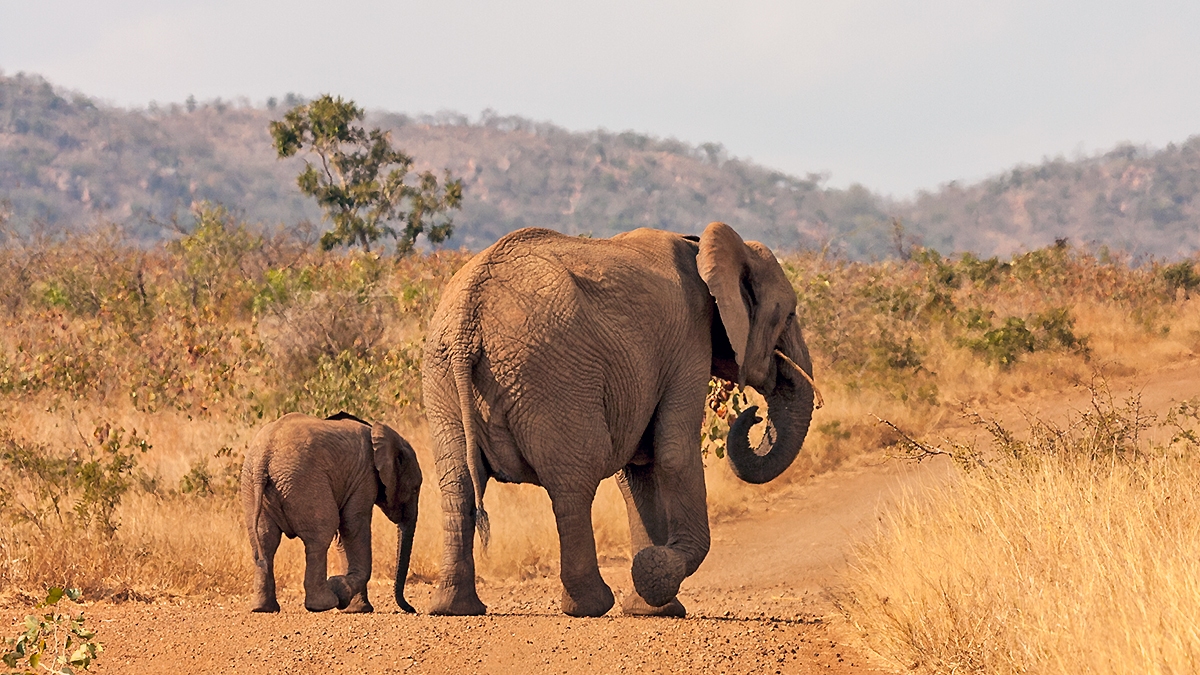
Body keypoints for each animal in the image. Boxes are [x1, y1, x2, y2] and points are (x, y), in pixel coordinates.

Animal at [240, 411, 422, 613]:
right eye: (415, 489)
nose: (412, 609)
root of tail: (264, 456)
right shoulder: (365, 476)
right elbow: (352, 525)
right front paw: (340, 590)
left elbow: (342, 535)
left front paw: (355, 608)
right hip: (305, 481)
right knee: (319, 538)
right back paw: (323, 604)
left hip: (251, 486)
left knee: (265, 541)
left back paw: (263, 608)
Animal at [421, 221, 816, 617]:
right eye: (790, 316)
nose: (755, 413)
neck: (704, 250)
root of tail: (467, 322)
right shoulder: (688, 340)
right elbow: (673, 451)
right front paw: (654, 574)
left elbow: (638, 470)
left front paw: (652, 607)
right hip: (552, 375)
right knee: (574, 481)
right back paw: (591, 605)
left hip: (441, 377)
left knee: (456, 483)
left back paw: (454, 607)